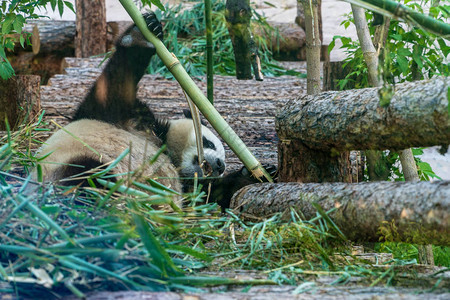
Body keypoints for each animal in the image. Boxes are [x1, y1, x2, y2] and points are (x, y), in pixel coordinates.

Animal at [32, 11, 270, 209]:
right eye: (209, 143)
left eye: (222, 164)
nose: (220, 165)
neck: (163, 142)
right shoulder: (118, 117)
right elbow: (115, 85)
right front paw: (141, 35)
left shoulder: (190, 187)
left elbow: (209, 196)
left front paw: (253, 175)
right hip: (70, 163)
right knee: (87, 176)